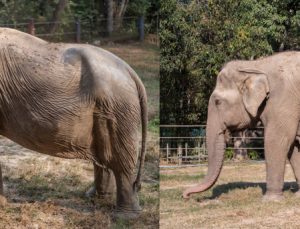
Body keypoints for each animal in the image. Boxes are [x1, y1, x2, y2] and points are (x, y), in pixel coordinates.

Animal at [0, 27, 148, 219]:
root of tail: (130, 71)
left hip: (120, 107)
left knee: (120, 160)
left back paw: (124, 217)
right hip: (109, 107)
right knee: (105, 153)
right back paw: (94, 197)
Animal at [183, 51, 300, 201]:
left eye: (218, 102)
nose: (186, 196)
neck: (255, 65)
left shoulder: (283, 99)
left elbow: (277, 140)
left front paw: (270, 200)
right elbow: (294, 146)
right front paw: (298, 196)